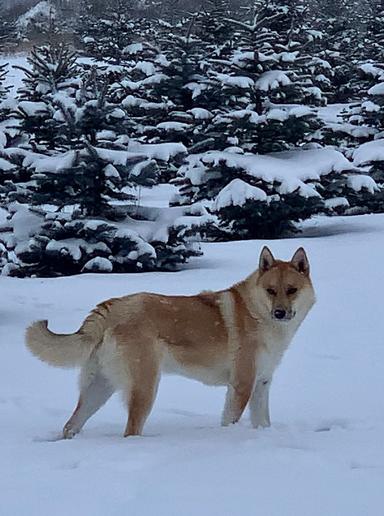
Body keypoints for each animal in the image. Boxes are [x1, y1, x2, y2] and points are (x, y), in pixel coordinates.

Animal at [26, 247, 316, 440]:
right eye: (271, 290)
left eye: (292, 290)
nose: (280, 313)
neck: (257, 313)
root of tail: (113, 307)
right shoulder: (241, 386)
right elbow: (229, 421)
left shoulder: (261, 385)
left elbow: (263, 422)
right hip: (145, 389)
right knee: (130, 431)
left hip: (99, 388)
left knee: (70, 426)